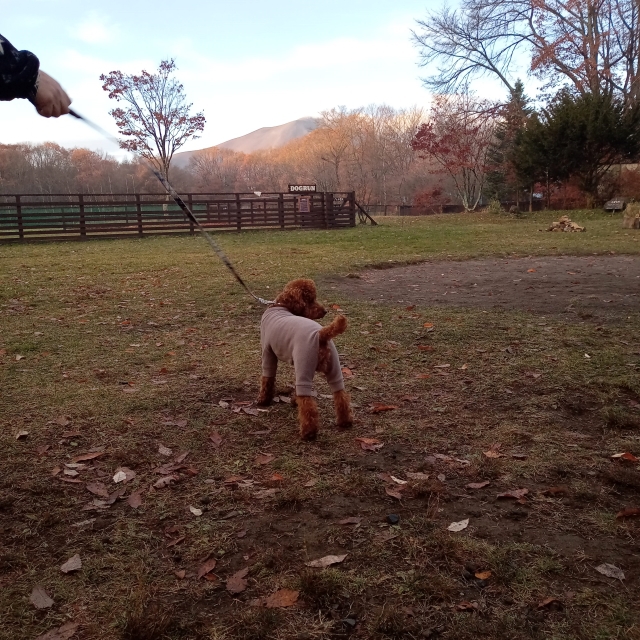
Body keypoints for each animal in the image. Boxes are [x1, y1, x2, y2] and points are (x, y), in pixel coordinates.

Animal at [256, 278, 356, 440]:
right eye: (310, 300)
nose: (325, 311)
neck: (281, 306)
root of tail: (321, 334)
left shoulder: (268, 352)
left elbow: (267, 379)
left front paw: (263, 400)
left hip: (304, 362)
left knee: (308, 404)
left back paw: (308, 432)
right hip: (333, 367)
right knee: (340, 395)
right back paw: (345, 421)